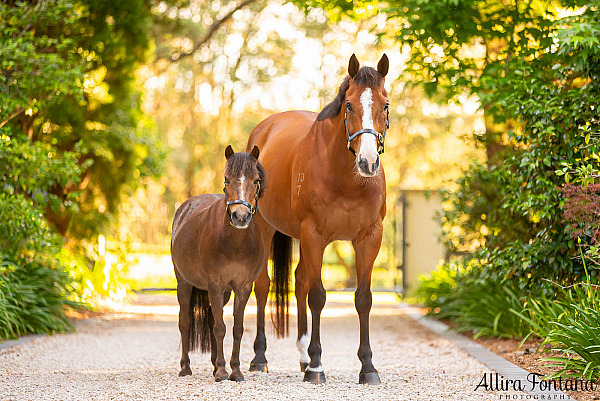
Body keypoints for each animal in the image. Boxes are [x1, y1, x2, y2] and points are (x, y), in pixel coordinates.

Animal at [173, 145, 268, 382]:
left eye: (256, 180)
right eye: (227, 179)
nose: (240, 217)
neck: (235, 243)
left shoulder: (242, 287)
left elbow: (236, 329)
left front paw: (235, 370)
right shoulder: (215, 285)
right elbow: (220, 328)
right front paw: (224, 372)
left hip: (223, 292)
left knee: (210, 319)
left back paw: (215, 364)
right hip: (184, 283)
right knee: (185, 322)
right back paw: (185, 367)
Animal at [245, 54, 390, 384]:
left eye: (385, 104)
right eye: (349, 105)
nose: (368, 162)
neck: (346, 178)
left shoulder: (369, 238)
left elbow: (363, 298)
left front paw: (368, 367)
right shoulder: (314, 234)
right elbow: (318, 297)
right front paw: (316, 366)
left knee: (299, 281)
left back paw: (301, 355)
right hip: (264, 227)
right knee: (263, 286)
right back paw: (260, 358)